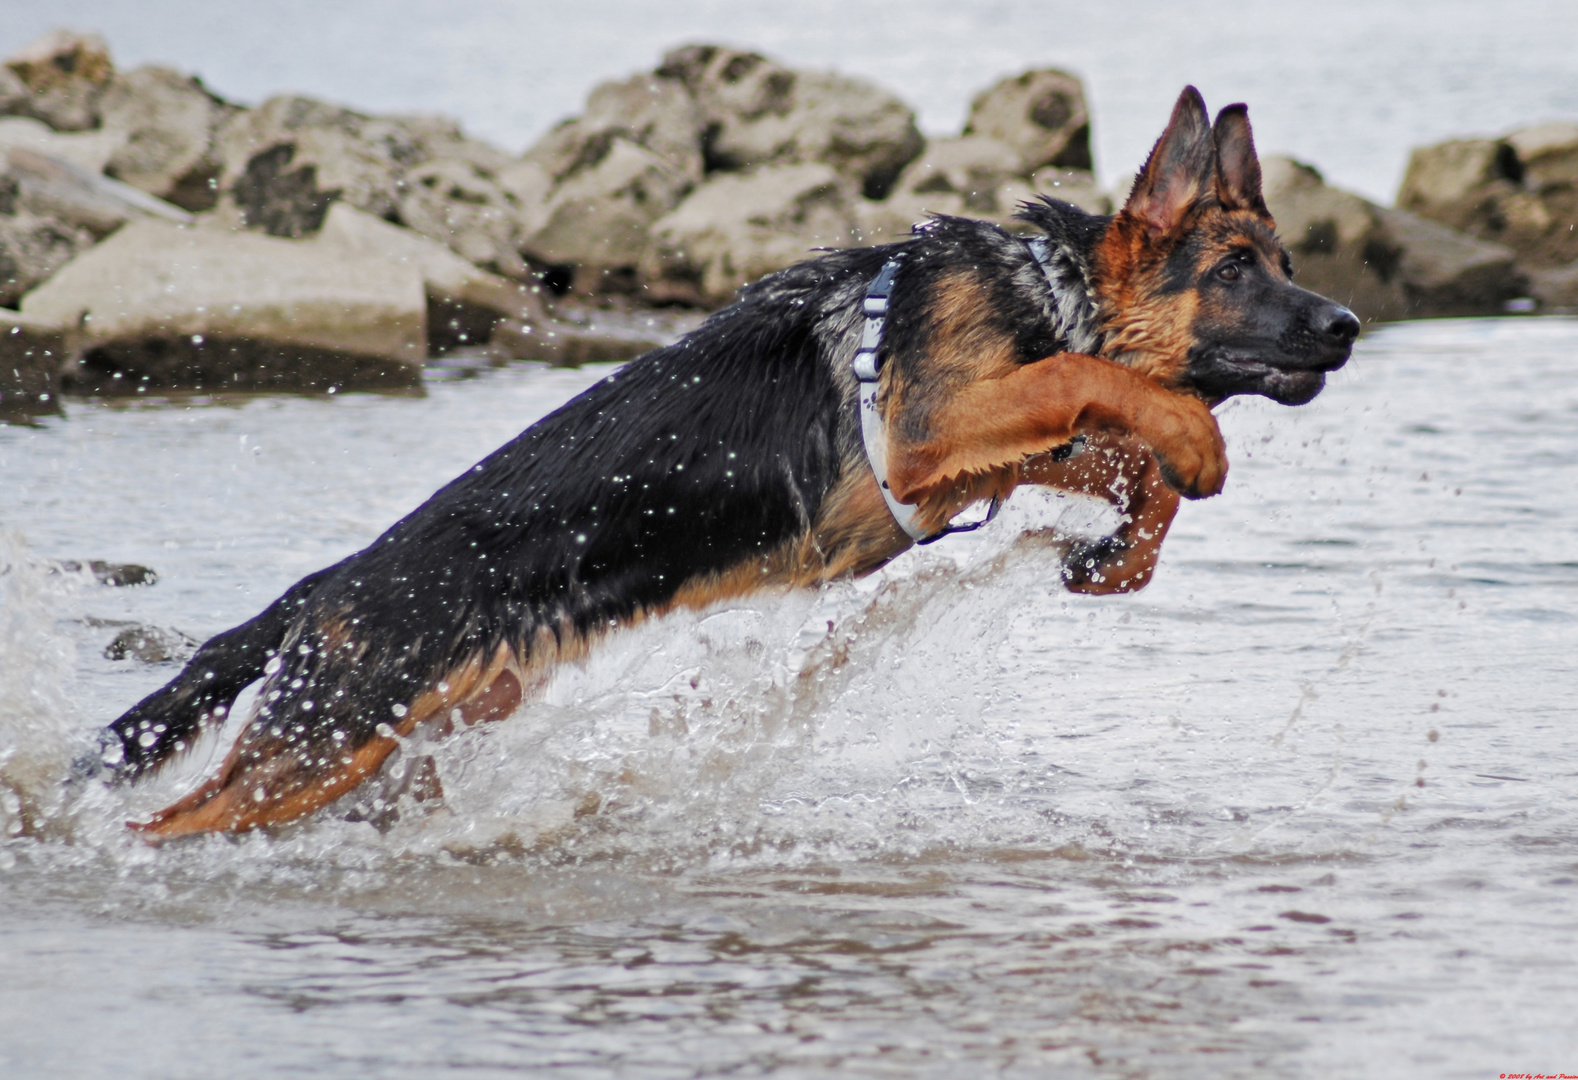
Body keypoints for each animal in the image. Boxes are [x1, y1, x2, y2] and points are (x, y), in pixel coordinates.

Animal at [92, 90, 1357, 833]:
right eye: (1238, 271)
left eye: (1289, 264)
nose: (1347, 324)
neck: (1051, 292)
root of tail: (331, 584)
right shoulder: (943, 423)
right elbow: (1108, 390)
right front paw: (1194, 442)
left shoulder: (961, 465)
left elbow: (1110, 452)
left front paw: (1127, 543)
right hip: (325, 740)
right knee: (169, 819)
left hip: (409, 736)